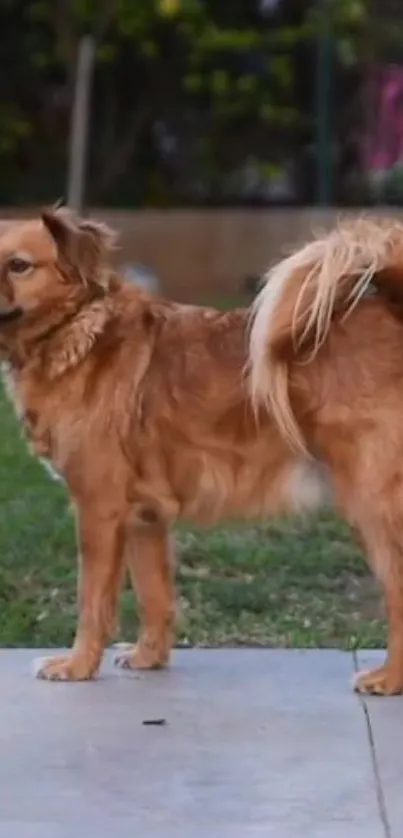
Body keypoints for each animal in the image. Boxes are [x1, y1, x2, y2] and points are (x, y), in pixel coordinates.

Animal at [1, 210, 403, 696]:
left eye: (19, 266)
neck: (79, 331)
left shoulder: (99, 511)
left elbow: (92, 601)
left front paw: (77, 665)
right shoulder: (145, 520)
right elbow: (155, 596)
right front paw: (149, 658)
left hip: (373, 507)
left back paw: (389, 679)